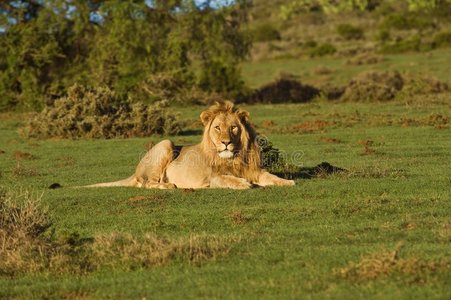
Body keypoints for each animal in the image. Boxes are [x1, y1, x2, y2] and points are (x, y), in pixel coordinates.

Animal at [87, 101, 296, 190]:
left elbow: (271, 176)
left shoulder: (254, 170)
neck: (234, 158)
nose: (226, 143)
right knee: (147, 183)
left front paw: (288, 182)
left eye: (234, 128)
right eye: (218, 128)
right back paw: (169, 185)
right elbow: (229, 179)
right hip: (165, 143)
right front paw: (244, 183)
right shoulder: (213, 178)